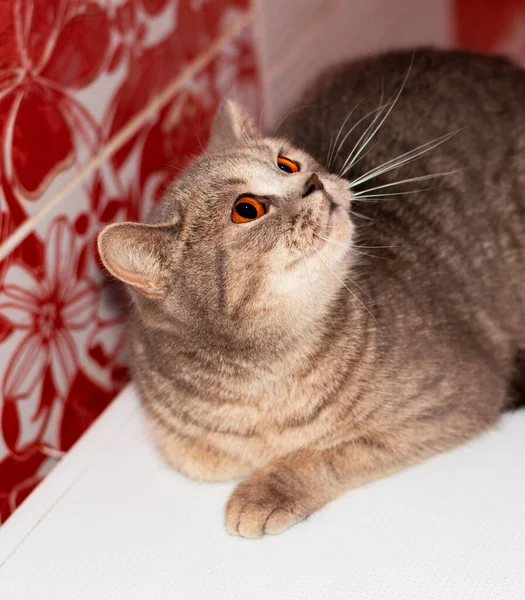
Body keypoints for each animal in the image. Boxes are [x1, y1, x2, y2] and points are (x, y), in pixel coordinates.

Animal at [97, 49, 524, 540]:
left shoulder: (453, 395)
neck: (264, 381)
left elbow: (333, 452)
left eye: (287, 164)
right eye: (246, 210)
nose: (314, 182)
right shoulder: (189, 455)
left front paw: (267, 490)